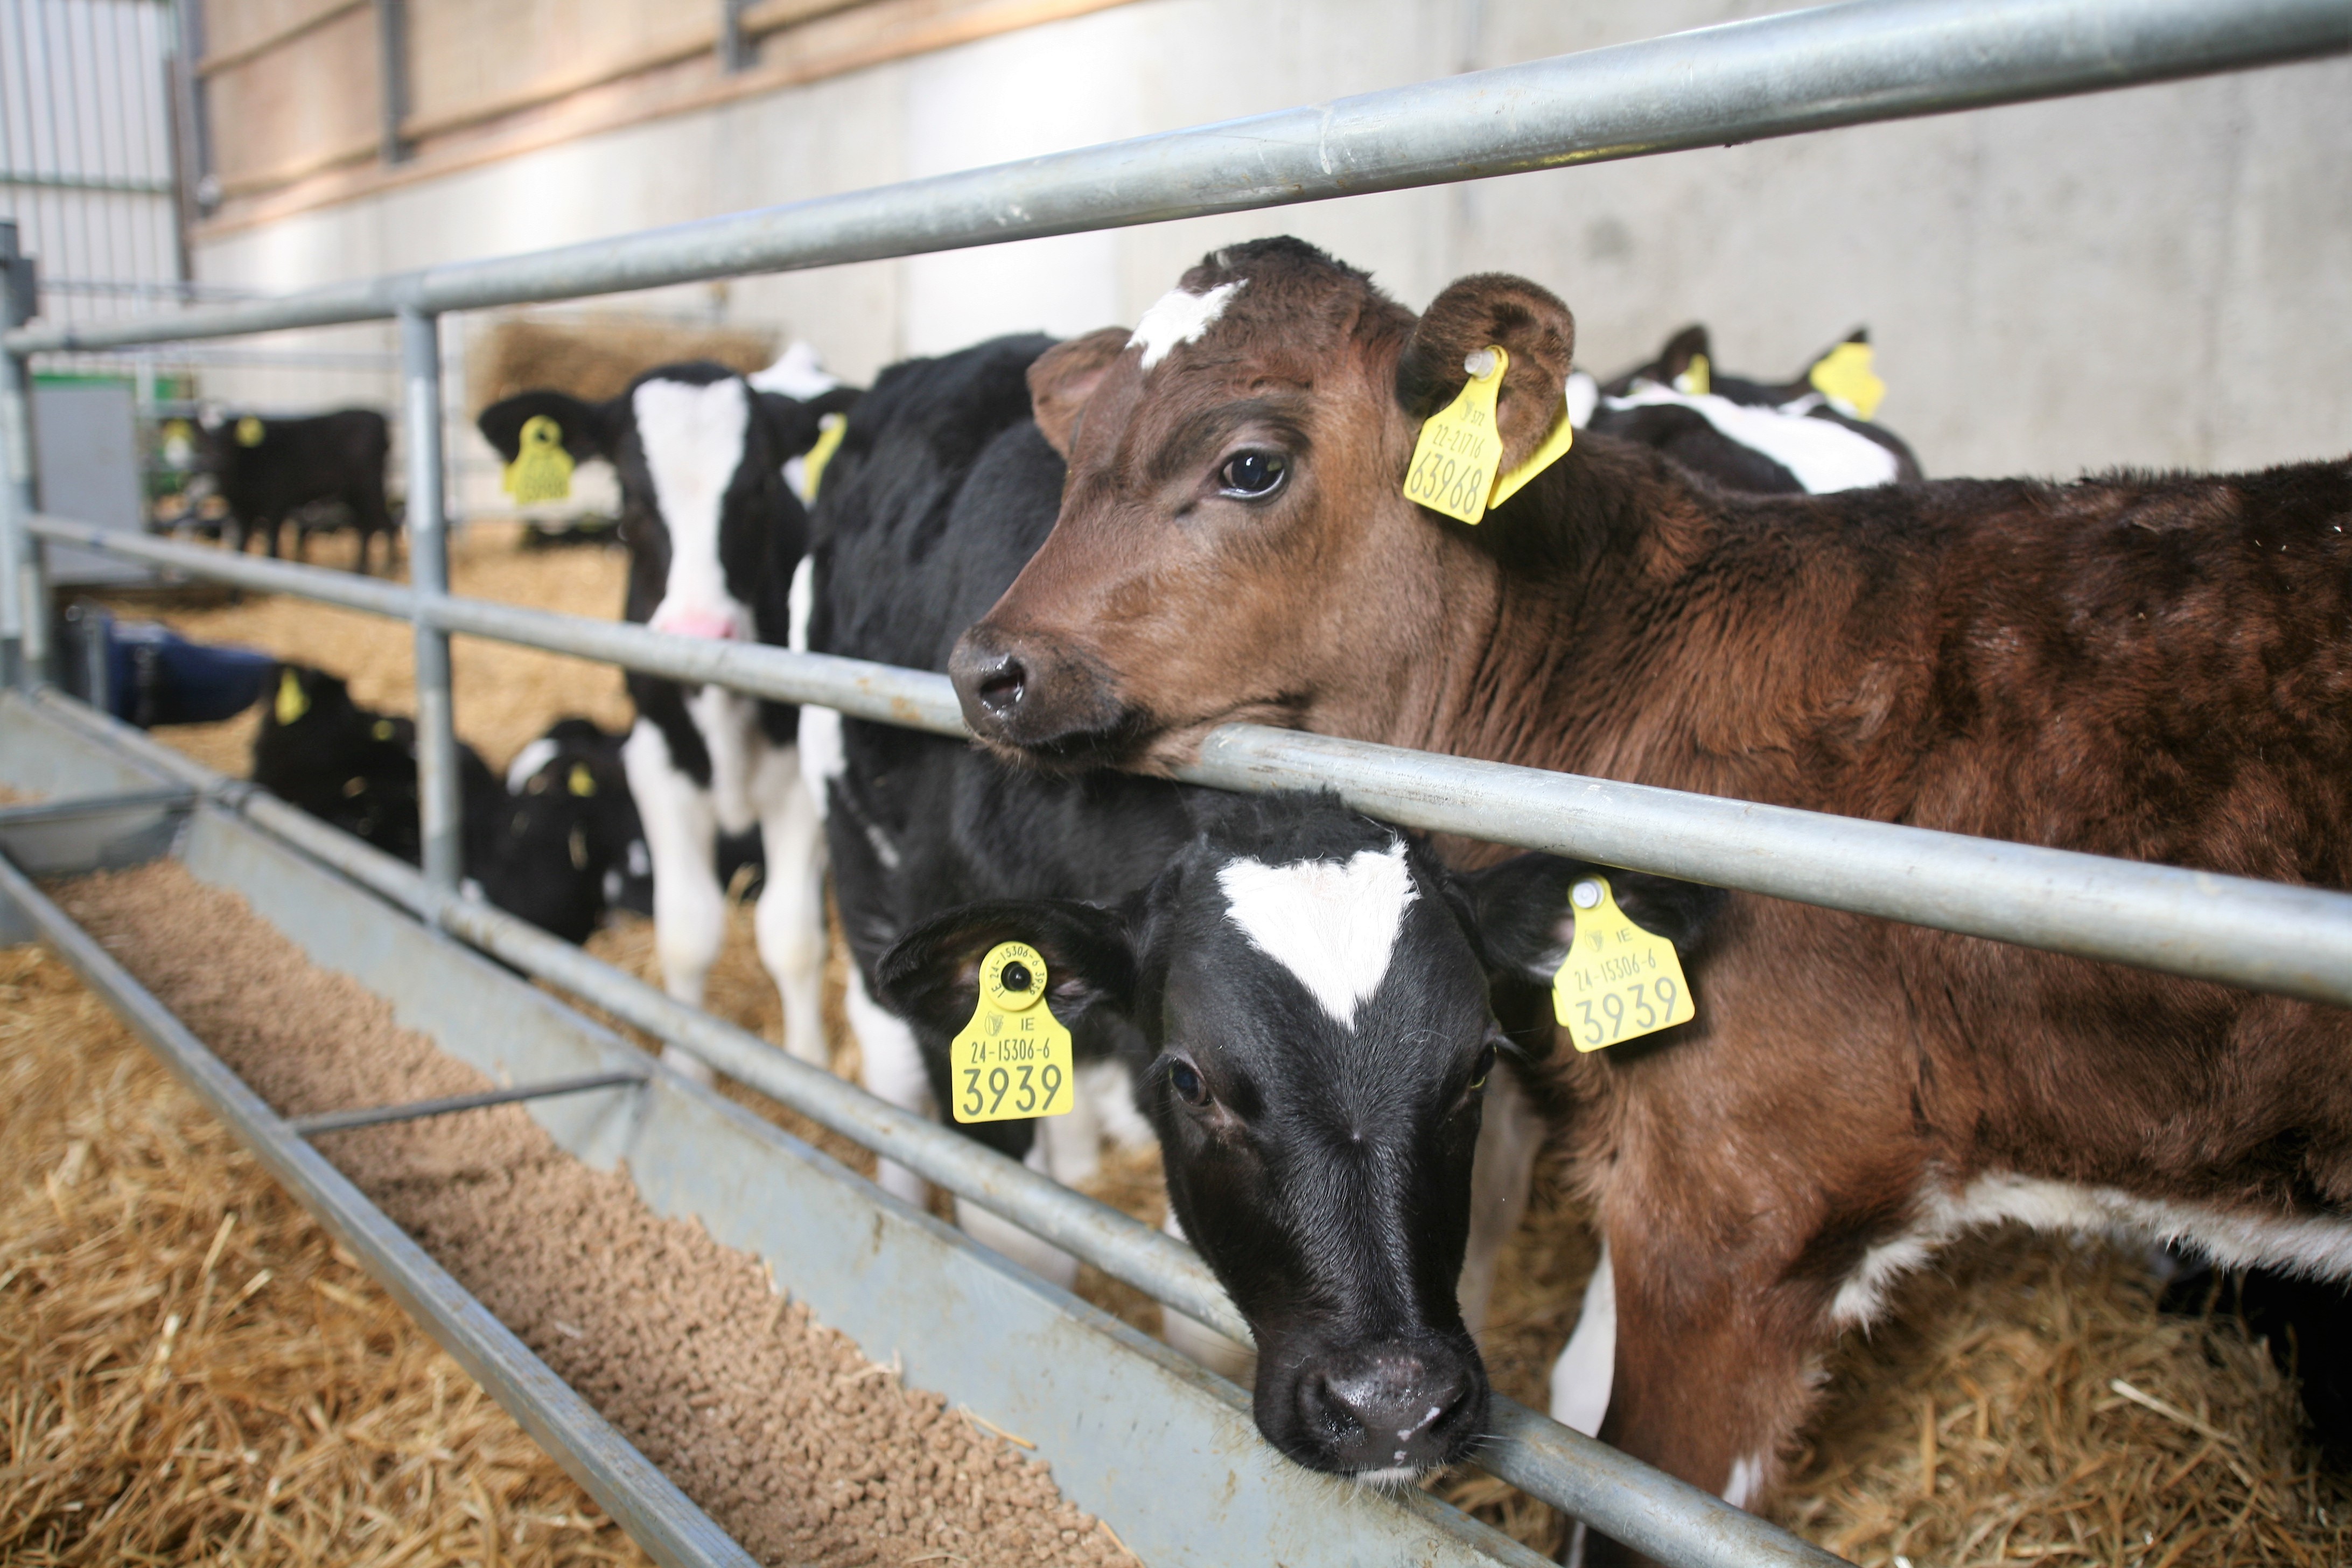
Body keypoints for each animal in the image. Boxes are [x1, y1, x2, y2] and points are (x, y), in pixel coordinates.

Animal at [194, 408, 400, 574]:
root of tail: (376, 416)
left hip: (369, 487)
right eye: (201, 436)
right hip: (352, 492)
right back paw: (361, 570)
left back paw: (387, 569)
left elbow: (271, 550)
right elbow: (238, 552)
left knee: (382, 523)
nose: (216, 461)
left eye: (229, 435)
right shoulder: (239, 510)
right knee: (366, 525)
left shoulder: (276, 504)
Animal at [477, 363, 855, 1077]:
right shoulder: (655, 763)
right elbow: (686, 931)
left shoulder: (798, 779)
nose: (697, 632)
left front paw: (808, 1061)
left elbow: (791, 934)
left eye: (760, 487)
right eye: (628, 494)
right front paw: (688, 1061)